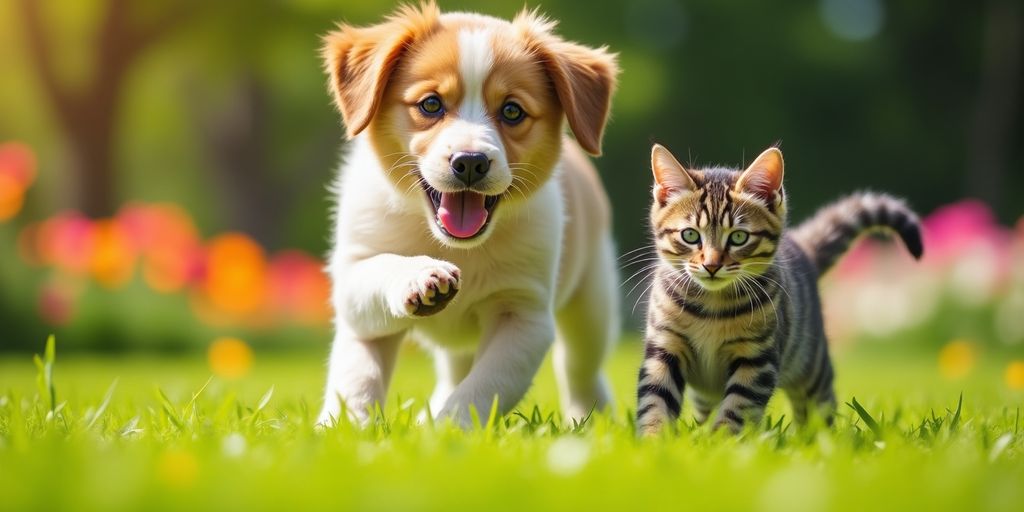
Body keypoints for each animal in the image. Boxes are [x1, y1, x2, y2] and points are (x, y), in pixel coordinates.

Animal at [319, 3, 618, 428]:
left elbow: (483, 389)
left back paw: (592, 418)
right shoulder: (353, 286)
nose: (471, 162)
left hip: (592, 302)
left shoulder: (524, 315)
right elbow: (357, 377)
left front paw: (446, 430)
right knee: (453, 369)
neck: (454, 246)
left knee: (579, 368)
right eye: (431, 104)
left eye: (512, 111)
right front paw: (343, 428)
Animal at [634, 144, 925, 436]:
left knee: (819, 407)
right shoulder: (664, 347)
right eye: (690, 235)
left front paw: (721, 441)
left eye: (738, 237)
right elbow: (655, 398)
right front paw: (655, 439)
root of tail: (801, 246)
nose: (712, 265)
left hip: (812, 367)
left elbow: (738, 406)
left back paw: (817, 438)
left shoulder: (756, 358)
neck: (711, 302)